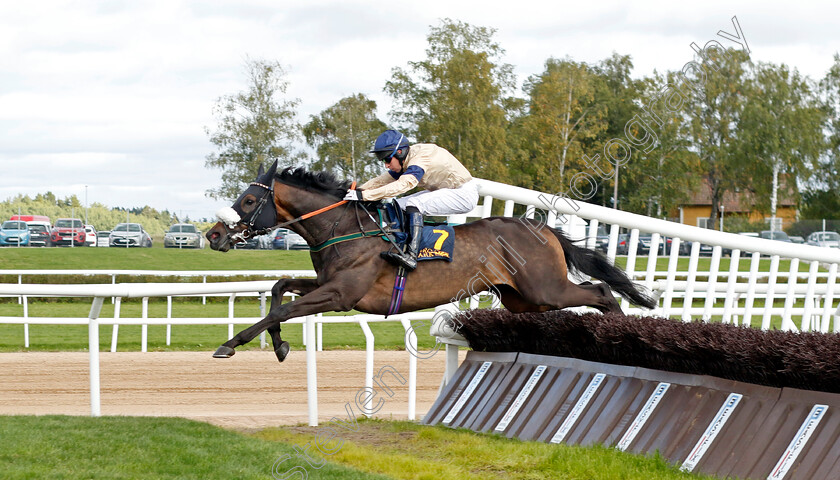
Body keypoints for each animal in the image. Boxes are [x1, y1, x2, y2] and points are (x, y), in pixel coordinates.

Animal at [205, 159, 656, 362]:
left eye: (248, 200)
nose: (213, 234)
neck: (343, 227)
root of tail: (543, 229)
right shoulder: (331, 286)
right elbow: (280, 289)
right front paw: (280, 345)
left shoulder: (340, 295)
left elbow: (281, 309)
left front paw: (230, 344)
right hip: (523, 298)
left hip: (545, 287)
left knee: (601, 291)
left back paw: (620, 333)